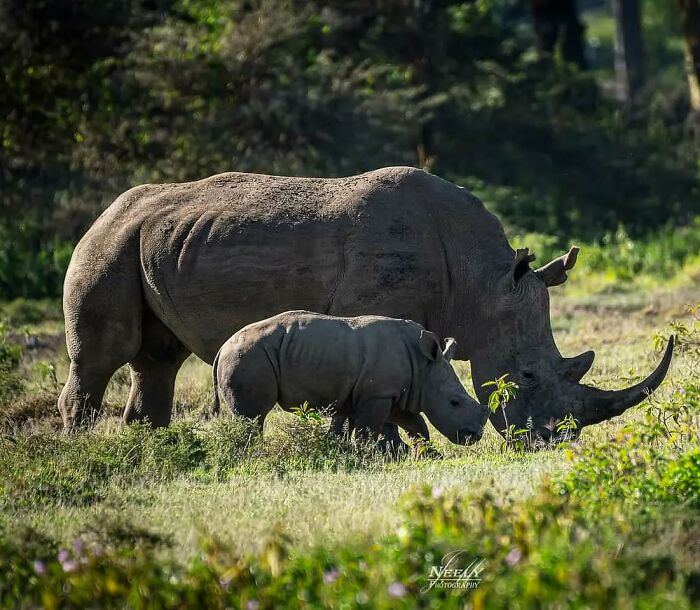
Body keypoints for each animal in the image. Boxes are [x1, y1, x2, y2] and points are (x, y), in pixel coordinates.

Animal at [211, 311, 488, 446]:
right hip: (248, 357)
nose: (474, 436)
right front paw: (365, 456)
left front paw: (428, 455)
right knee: (252, 417)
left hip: (245, 356)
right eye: (454, 403)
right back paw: (252, 453)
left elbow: (416, 424)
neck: (423, 366)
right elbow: (367, 430)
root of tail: (221, 348)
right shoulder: (378, 394)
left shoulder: (394, 393)